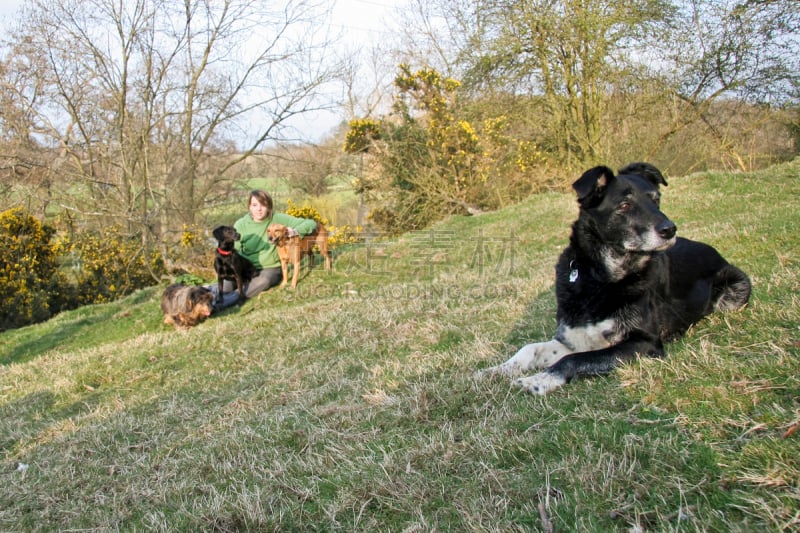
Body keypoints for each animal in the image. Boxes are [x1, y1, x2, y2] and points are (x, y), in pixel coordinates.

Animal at [478, 163, 752, 394]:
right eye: (624, 205)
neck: (599, 277)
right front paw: (496, 370)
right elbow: (530, 349)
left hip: (737, 285)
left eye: (656, 200)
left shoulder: (644, 343)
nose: (670, 229)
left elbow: (572, 360)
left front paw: (539, 380)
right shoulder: (575, 338)